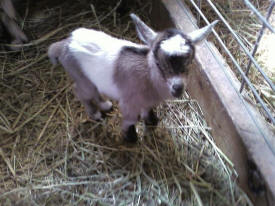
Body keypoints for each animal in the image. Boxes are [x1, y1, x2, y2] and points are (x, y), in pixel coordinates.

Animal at [48, 13, 219, 142]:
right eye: (158, 62)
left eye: (190, 61)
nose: (177, 88)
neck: (148, 76)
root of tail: (64, 44)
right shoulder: (128, 103)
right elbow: (131, 120)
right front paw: (131, 137)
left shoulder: (147, 100)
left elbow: (148, 110)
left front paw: (152, 121)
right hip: (79, 75)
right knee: (81, 92)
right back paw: (95, 113)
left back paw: (105, 105)